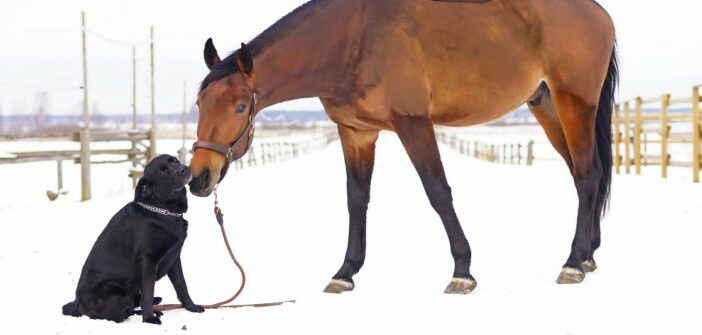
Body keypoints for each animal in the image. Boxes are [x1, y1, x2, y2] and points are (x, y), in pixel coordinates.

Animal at [62, 156, 205, 326]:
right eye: (163, 171)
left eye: (174, 160)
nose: (184, 169)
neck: (162, 211)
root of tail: (77, 304)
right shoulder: (149, 261)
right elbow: (148, 293)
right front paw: (149, 319)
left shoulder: (174, 258)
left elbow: (182, 286)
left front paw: (192, 307)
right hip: (115, 289)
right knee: (123, 313)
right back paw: (153, 311)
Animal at [190, 0, 620, 294]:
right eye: (199, 103)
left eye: (240, 106)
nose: (199, 178)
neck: (353, 40)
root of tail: (598, 13)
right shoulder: (356, 132)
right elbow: (356, 199)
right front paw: (345, 273)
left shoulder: (413, 123)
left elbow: (438, 192)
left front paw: (462, 271)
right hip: (546, 105)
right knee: (586, 173)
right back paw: (588, 255)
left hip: (574, 103)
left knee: (586, 174)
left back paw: (572, 263)